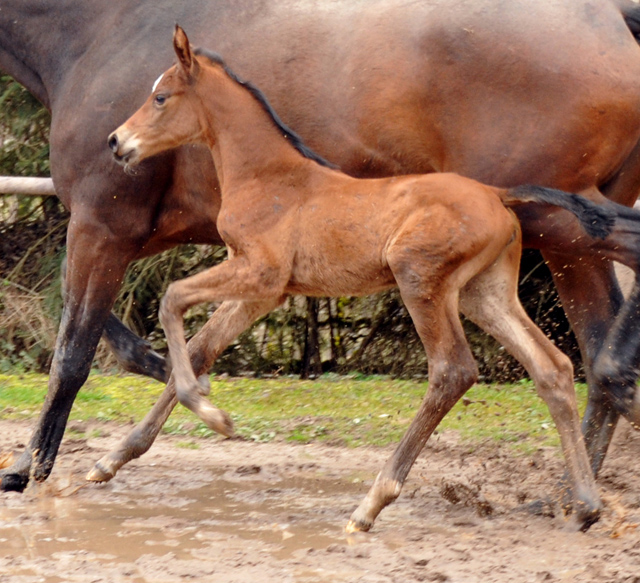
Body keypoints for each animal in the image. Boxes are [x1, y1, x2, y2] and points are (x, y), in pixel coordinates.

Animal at [110, 27, 608, 532]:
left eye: (160, 97)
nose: (116, 141)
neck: (266, 177)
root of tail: (498, 195)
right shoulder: (265, 293)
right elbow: (201, 346)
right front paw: (114, 458)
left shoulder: (260, 273)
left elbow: (172, 299)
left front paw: (212, 412)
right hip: (484, 293)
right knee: (552, 367)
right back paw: (586, 504)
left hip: (419, 279)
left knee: (452, 371)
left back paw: (370, 504)